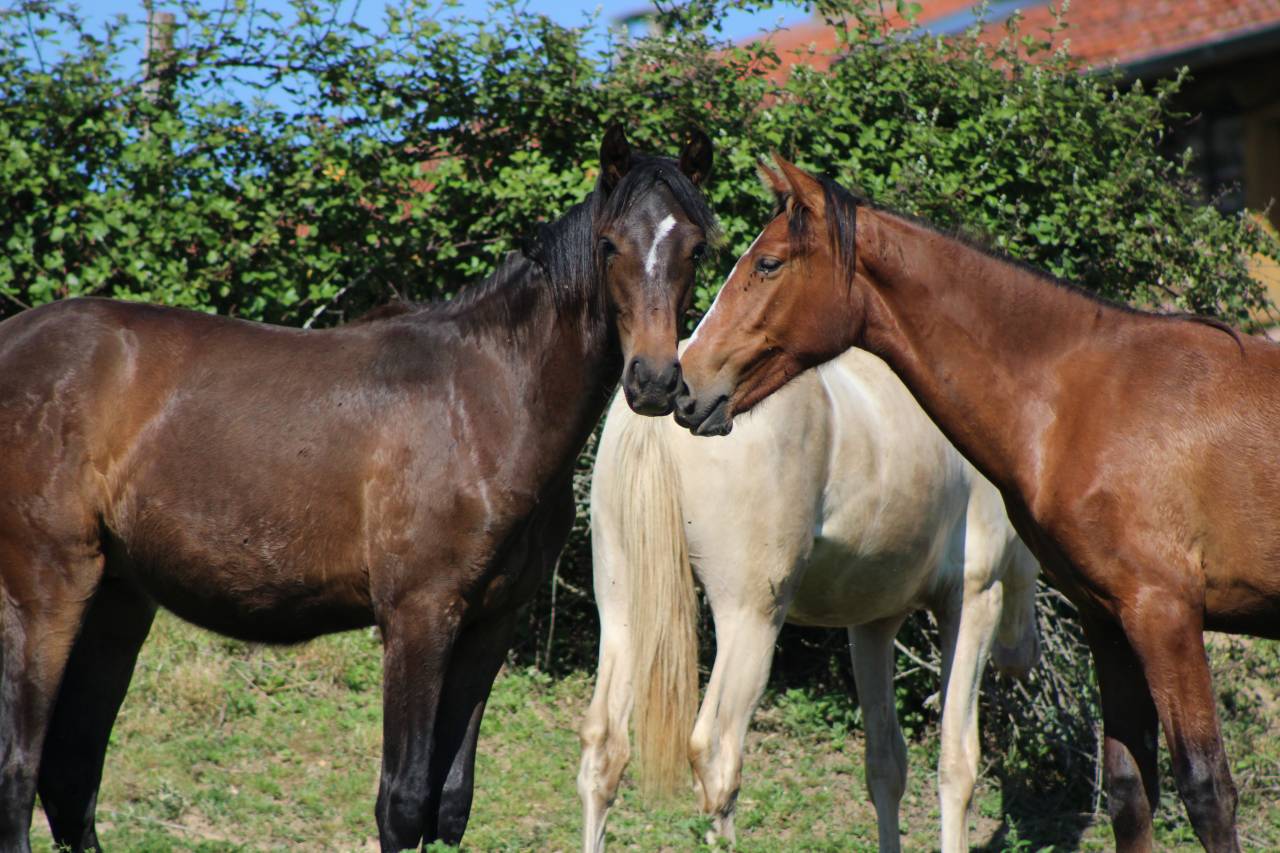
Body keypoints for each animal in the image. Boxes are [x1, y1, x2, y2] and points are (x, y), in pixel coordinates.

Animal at [0, 126, 718, 853]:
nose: (654, 381)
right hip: (46, 593)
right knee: (21, 768)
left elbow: (449, 804)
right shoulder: (418, 616)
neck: (484, 399)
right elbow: (402, 802)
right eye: (609, 244)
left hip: (119, 601)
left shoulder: (491, 625)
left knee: (71, 775)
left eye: (696, 247)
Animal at [578, 344, 1040, 852]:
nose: (1022, 657)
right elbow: (957, 766)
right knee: (717, 760)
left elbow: (885, 766)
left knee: (604, 753)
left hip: (623, 610)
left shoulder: (872, 626)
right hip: (750, 619)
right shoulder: (974, 601)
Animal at [674, 154, 1280, 852]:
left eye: (768, 263)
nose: (684, 384)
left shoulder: (1166, 616)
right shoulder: (1111, 621)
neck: (1088, 398)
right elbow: (1131, 795)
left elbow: (1207, 793)